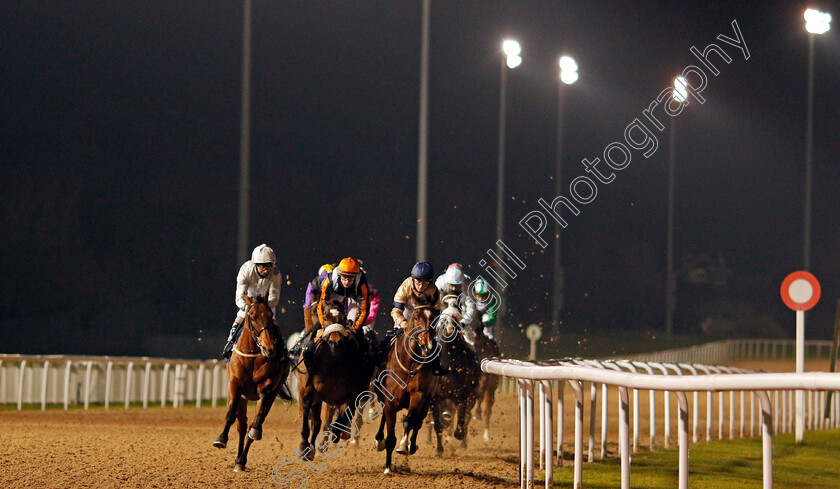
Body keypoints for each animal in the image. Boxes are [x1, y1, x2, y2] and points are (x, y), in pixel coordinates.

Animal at [213, 292, 292, 470]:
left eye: (270, 315)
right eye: (253, 316)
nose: (269, 347)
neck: (252, 355)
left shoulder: (269, 384)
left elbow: (259, 413)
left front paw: (255, 431)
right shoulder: (235, 385)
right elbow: (231, 415)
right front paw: (221, 439)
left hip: (271, 395)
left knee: (253, 424)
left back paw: (242, 459)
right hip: (242, 397)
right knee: (242, 426)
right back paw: (238, 460)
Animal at [296, 300, 374, 460]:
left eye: (344, 318)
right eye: (325, 317)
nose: (335, 342)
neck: (333, 364)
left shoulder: (350, 395)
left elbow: (342, 417)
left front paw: (339, 433)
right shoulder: (311, 389)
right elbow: (307, 409)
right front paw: (304, 446)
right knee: (317, 421)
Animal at [374, 294, 440, 472]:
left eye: (435, 317)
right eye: (416, 316)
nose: (428, 345)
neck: (409, 364)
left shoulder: (419, 395)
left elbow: (409, 420)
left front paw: (404, 445)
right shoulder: (389, 400)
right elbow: (390, 433)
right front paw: (388, 467)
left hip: (427, 401)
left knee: (418, 421)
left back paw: (412, 445)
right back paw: (379, 440)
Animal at [430, 304, 482, 452]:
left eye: (456, 322)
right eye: (442, 322)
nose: (449, 330)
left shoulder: (462, 396)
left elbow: (462, 419)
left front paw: (459, 435)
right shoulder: (435, 399)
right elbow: (438, 424)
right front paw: (439, 449)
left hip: (473, 394)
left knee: (467, 416)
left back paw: (463, 442)